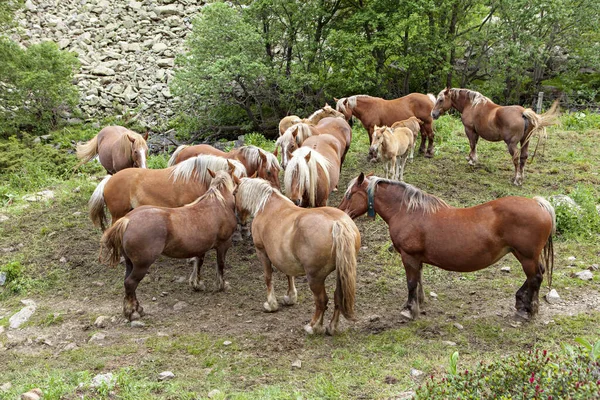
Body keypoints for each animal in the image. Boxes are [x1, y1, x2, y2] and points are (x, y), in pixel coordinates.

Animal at [101, 170, 237, 320]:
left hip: (130, 263)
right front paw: (221, 285)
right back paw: (132, 312)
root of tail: (127, 219)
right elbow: (220, 265)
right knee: (131, 283)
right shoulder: (224, 244)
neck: (218, 203)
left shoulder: (201, 247)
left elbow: (198, 263)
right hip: (142, 265)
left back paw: (135, 308)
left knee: (127, 283)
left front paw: (197, 284)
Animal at [234, 178, 358, 334]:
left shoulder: (261, 252)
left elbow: (268, 277)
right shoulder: (284, 258)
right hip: (341, 272)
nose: (238, 218)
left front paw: (271, 304)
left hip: (315, 278)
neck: (267, 204)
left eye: (234, 193)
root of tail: (338, 223)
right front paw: (290, 297)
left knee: (321, 301)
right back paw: (332, 327)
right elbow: (289, 275)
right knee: (338, 297)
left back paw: (313, 327)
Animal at [340, 173, 556, 322]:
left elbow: (411, 282)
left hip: (526, 256)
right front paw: (419, 303)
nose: (341, 213)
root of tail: (538, 204)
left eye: (349, 195)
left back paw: (528, 310)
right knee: (537, 275)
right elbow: (419, 281)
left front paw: (409, 309)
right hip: (525, 255)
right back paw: (522, 303)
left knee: (535, 277)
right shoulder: (417, 259)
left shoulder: (409, 256)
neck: (408, 211)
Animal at [428, 88, 560, 185]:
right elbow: (474, 145)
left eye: (440, 100)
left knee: (516, 157)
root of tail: (523, 113)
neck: (472, 105)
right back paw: (521, 178)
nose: (433, 114)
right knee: (523, 157)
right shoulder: (476, 132)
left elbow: (472, 144)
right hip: (525, 141)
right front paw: (472, 158)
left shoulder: (469, 130)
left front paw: (471, 160)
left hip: (511, 144)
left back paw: (516, 179)